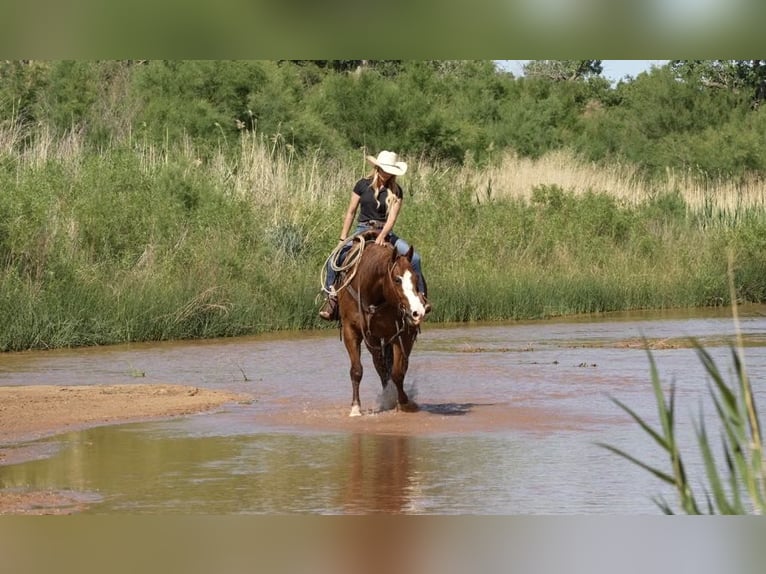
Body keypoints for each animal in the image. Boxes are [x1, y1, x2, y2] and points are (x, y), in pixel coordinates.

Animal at [338, 236, 432, 416]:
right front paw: (355, 408)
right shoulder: (351, 331)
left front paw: (404, 402)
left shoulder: (401, 333)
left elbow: (398, 372)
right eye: (397, 279)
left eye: (416, 279)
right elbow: (357, 370)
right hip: (374, 340)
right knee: (381, 367)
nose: (417, 311)